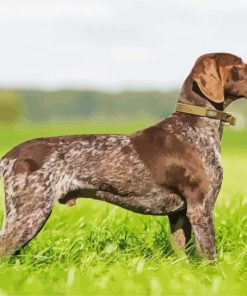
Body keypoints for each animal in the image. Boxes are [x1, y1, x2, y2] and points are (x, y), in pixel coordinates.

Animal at [0, 52, 246, 260]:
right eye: (238, 64)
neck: (195, 128)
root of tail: (9, 156)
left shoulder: (180, 214)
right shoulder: (200, 208)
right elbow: (210, 256)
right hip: (29, 213)